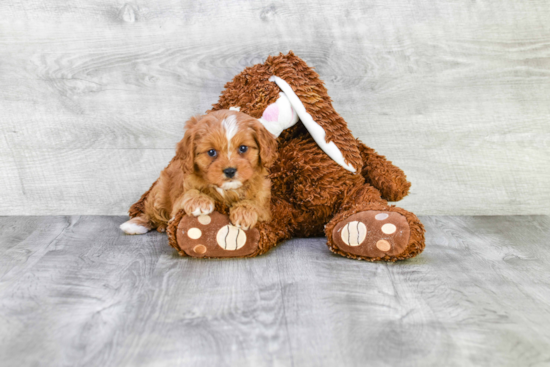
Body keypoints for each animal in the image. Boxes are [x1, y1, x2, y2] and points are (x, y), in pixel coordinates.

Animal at [119, 109, 276, 236]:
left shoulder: (266, 209)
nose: (230, 171)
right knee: (152, 213)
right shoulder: (179, 199)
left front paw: (244, 212)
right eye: (211, 152)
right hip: (160, 191)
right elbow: (187, 194)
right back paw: (137, 224)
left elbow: (256, 204)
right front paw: (199, 201)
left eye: (243, 148)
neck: (228, 190)